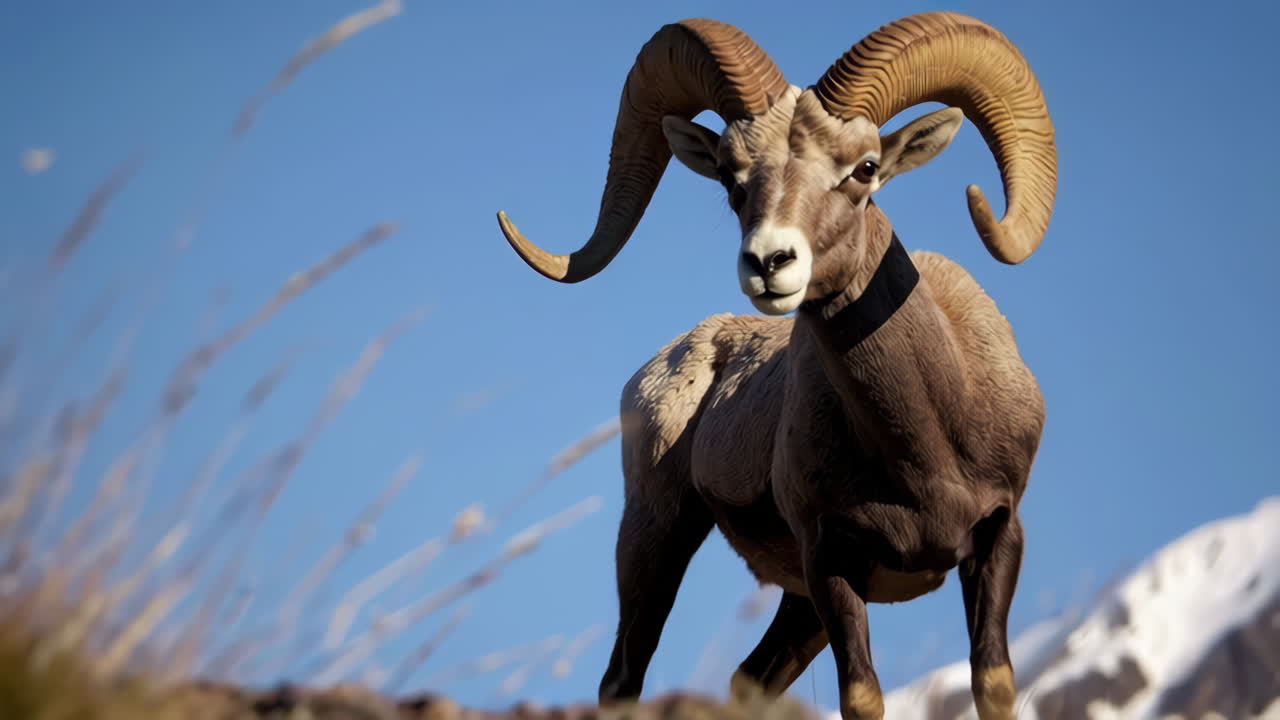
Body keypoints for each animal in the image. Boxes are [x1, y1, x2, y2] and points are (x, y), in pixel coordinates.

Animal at [495, 12, 1057, 720]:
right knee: (623, 677)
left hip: (790, 607)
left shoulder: (997, 542)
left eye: (865, 169)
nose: (768, 263)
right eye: (731, 179)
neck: (925, 452)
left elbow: (992, 684)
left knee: (746, 679)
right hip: (657, 537)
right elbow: (862, 696)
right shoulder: (829, 562)